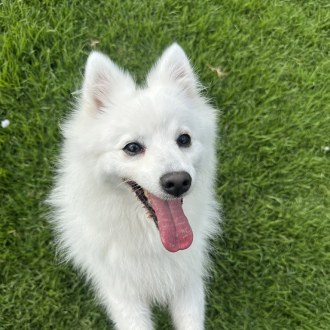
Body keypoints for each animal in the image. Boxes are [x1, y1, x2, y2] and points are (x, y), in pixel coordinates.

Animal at [48, 43, 219, 330]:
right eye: (132, 148)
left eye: (184, 139)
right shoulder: (123, 293)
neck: (150, 240)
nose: (178, 181)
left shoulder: (187, 279)